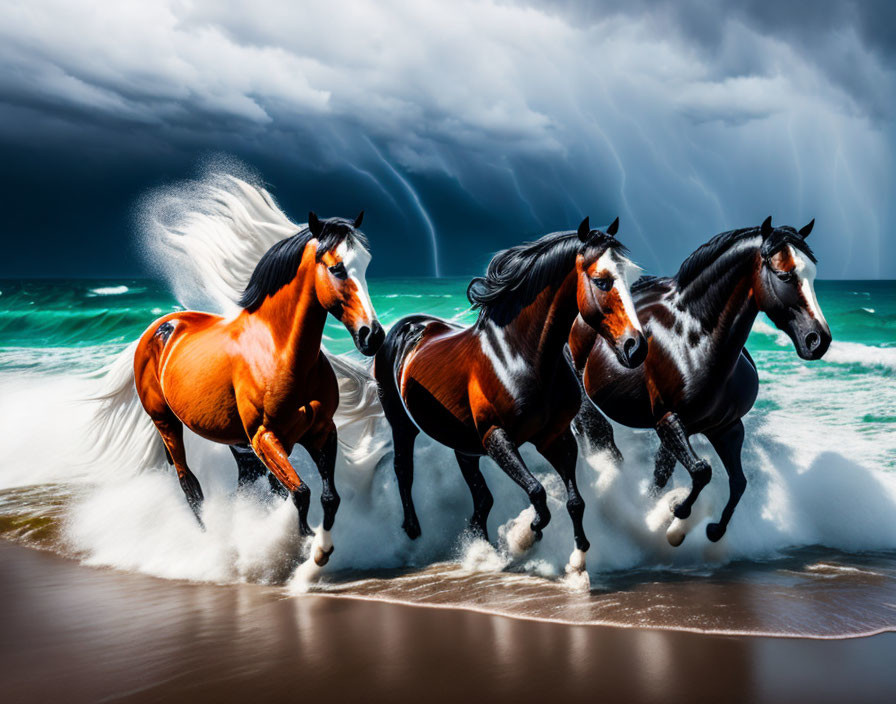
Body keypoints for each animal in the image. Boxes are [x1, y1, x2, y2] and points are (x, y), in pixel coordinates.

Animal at [133, 210, 384, 568]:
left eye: (365, 263)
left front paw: (322, 549)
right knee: (190, 486)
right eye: (337, 267)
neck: (279, 351)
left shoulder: (320, 431)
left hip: (238, 443)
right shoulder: (265, 436)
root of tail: (161, 327)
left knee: (246, 485)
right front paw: (304, 542)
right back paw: (212, 545)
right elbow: (301, 493)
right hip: (166, 423)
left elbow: (327, 496)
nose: (371, 336)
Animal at [374, 216, 648, 576]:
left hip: (464, 445)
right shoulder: (497, 438)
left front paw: (578, 557)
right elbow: (538, 493)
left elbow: (575, 501)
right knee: (404, 469)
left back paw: (477, 548)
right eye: (601, 281)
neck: (519, 356)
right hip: (402, 423)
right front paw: (525, 538)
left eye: (631, 276)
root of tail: (406, 325)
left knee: (481, 499)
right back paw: (413, 532)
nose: (636, 347)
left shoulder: (554, 437)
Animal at [568, 217, 832, 548]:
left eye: (813, 275)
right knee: (596, 432)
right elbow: (701, 471)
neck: (694, 339)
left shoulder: (726, 427)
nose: (818, 340)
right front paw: (677, 517)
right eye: (785, 275)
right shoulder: (667, 421)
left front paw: (712, 529)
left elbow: (737, 482)